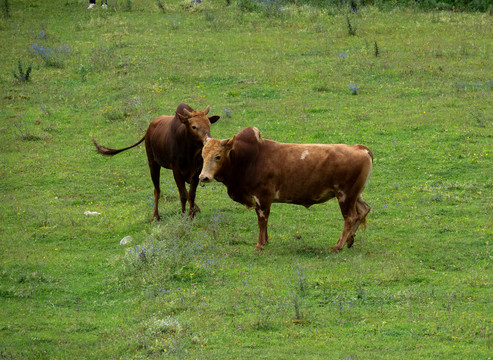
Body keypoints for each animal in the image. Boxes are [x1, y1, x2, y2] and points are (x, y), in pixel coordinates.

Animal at [198, 128, 370, 252]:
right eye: (202, 155)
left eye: (218, 156)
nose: (204, 177)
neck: (249, 158)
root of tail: (360, 148)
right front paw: (265, 240)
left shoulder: (263, 197)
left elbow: (262, 220)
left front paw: (260, 244)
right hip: (355, 195)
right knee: (363, 210)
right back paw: (349, 240)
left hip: (345, 195)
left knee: (350, 217)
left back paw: (338, 245)